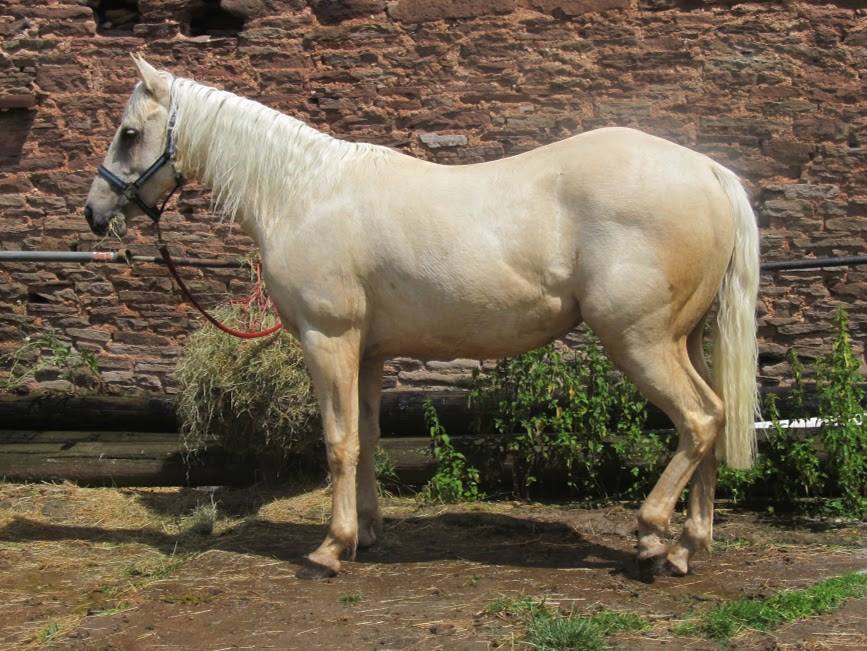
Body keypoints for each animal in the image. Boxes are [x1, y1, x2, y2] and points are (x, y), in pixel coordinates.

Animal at [85, 57, 760, 580]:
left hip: (639, 340)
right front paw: (365, 534)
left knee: (699, 419)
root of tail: (709, 171)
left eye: (128, 133)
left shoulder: (328, 341)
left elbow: (337, 442)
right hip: (684, 340)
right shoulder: (368, 353)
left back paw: (651, 536)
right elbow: (366, 438)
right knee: (715, 415)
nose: (95, 213)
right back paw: (688, 547)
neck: (305, 194)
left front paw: (329, 549)